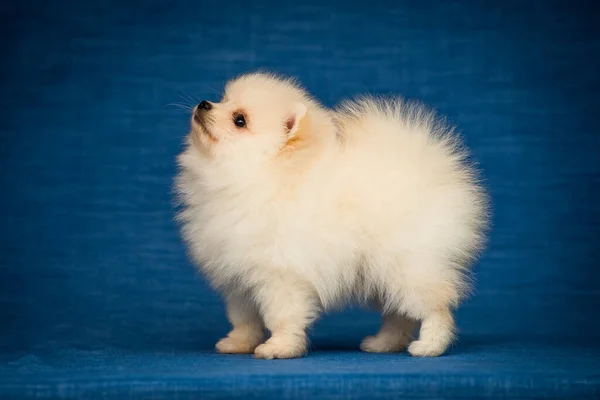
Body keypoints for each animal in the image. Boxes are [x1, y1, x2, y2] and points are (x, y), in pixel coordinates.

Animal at [176, 72, 490, 360]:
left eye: (240, 120)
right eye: (223, 99)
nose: (204, 104)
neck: (258, 175)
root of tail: (432, 169)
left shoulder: (281, 274)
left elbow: (282, 316)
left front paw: (279, 347)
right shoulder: (237, 276)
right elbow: (244, 318)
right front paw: (238, 343)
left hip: (408, 266)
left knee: (435, 307)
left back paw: (430, 346)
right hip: (380, 273)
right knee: (398, 314)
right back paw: (384, 343)